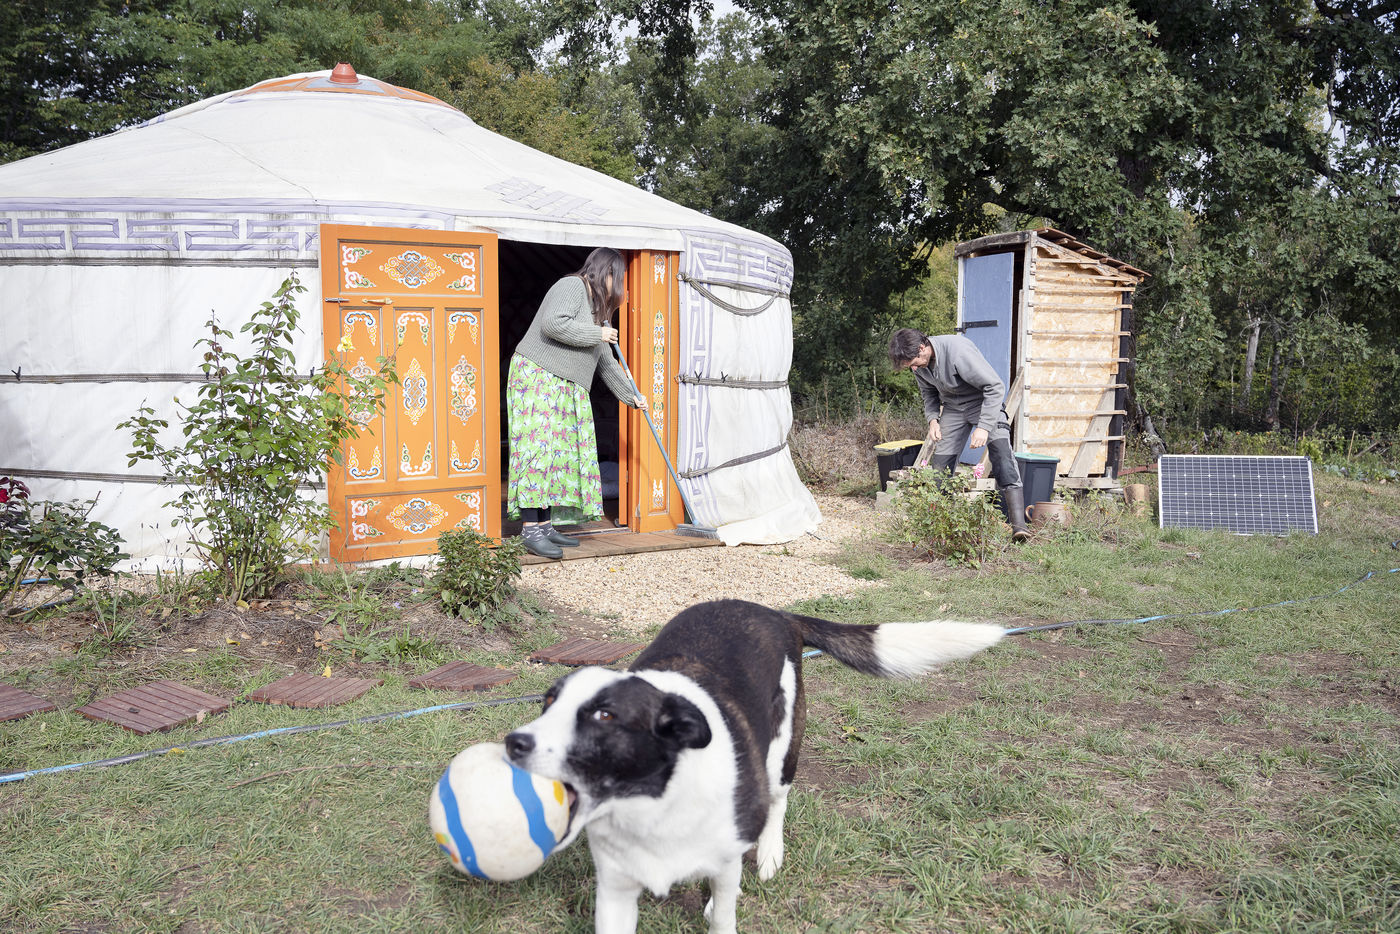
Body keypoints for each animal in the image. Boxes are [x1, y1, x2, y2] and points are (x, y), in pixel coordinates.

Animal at [504, 599, 1004, 933]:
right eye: (547, 702)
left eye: (605, 716)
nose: (514, 743)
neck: (653, 805)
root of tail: (777, 613)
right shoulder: (615, 889)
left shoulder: (724, 862)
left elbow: (724, 913)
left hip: (783, 751)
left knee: (776, 803)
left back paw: (767, 856)